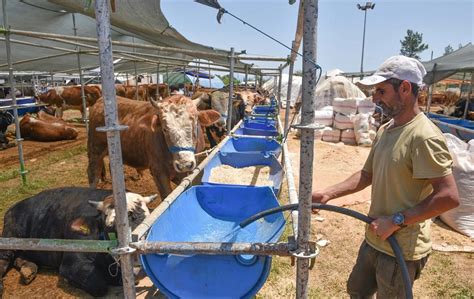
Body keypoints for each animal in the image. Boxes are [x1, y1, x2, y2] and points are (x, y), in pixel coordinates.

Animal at [0, 188, 159, 298]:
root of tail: (15, 206)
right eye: (110, 228)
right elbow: (99, 286)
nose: (137, 265)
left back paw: (28, 269)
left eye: (146, 221)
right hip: (10, 235)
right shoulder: (71, 263)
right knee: (4, 259)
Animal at [88, 96, 221, 199]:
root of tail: (99, 101)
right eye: (165, 129)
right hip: (95, 150)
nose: (184, 164)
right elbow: (167, 195)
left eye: (194, 123)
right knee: (93, 174)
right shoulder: (158, 172)